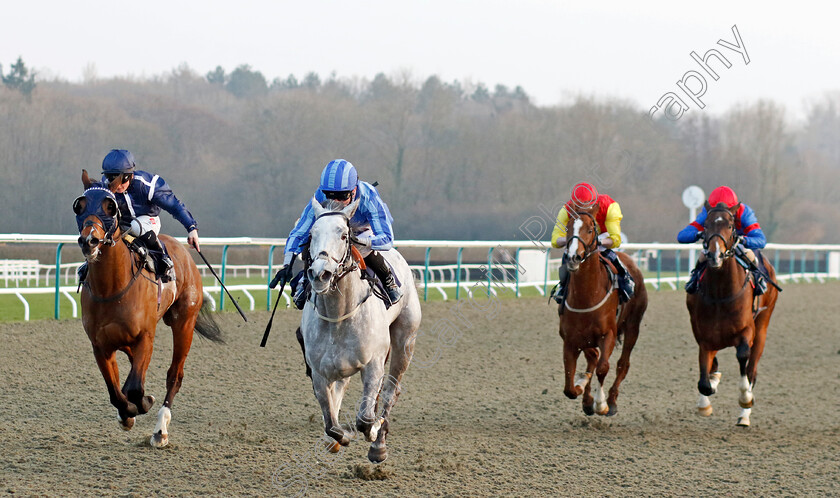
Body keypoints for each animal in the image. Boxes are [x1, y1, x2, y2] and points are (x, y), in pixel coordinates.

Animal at [73, 171, 223, 448]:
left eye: (110, 207)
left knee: (174, 375)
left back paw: (160, 430)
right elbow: (116, 392)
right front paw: (126, 414)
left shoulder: (145, 337)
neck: (111, 289)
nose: (90, 240)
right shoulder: (101, 345)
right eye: (80, 205)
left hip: (183, 322)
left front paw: (142, 404)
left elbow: (134, 389)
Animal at [300, 196, 420, 462]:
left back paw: (378, 444)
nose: (320, 274)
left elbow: (365, 419)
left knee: (390, 392)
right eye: (312, 234)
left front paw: (373, 432)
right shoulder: (319, 373)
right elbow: (332, 425)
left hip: (405, 341)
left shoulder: (373, 364)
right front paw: (339, 438)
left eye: (344, 235)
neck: (338, 316)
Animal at [556, 206, 648, 416]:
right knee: (593, 358)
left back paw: (612, 401)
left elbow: (603, 368)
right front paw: (583, 391)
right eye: (567, 229)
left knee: (622, 364)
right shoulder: (571, 340)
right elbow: (569, 386)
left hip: (633, 327)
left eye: (590, 230)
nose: (573, 257)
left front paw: (601, 404)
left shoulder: (609, 334)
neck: (586, 295)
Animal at [688, 200, 780, 426]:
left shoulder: (747, 330)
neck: (721, 294)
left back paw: (744, 416)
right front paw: (706, 398)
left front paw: (745, 398)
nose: (715, 255)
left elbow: (742, 357)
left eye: (730, 226)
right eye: (706, 226)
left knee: (752, 369)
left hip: (763, 326)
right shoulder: (704, 336)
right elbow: (705, 379)